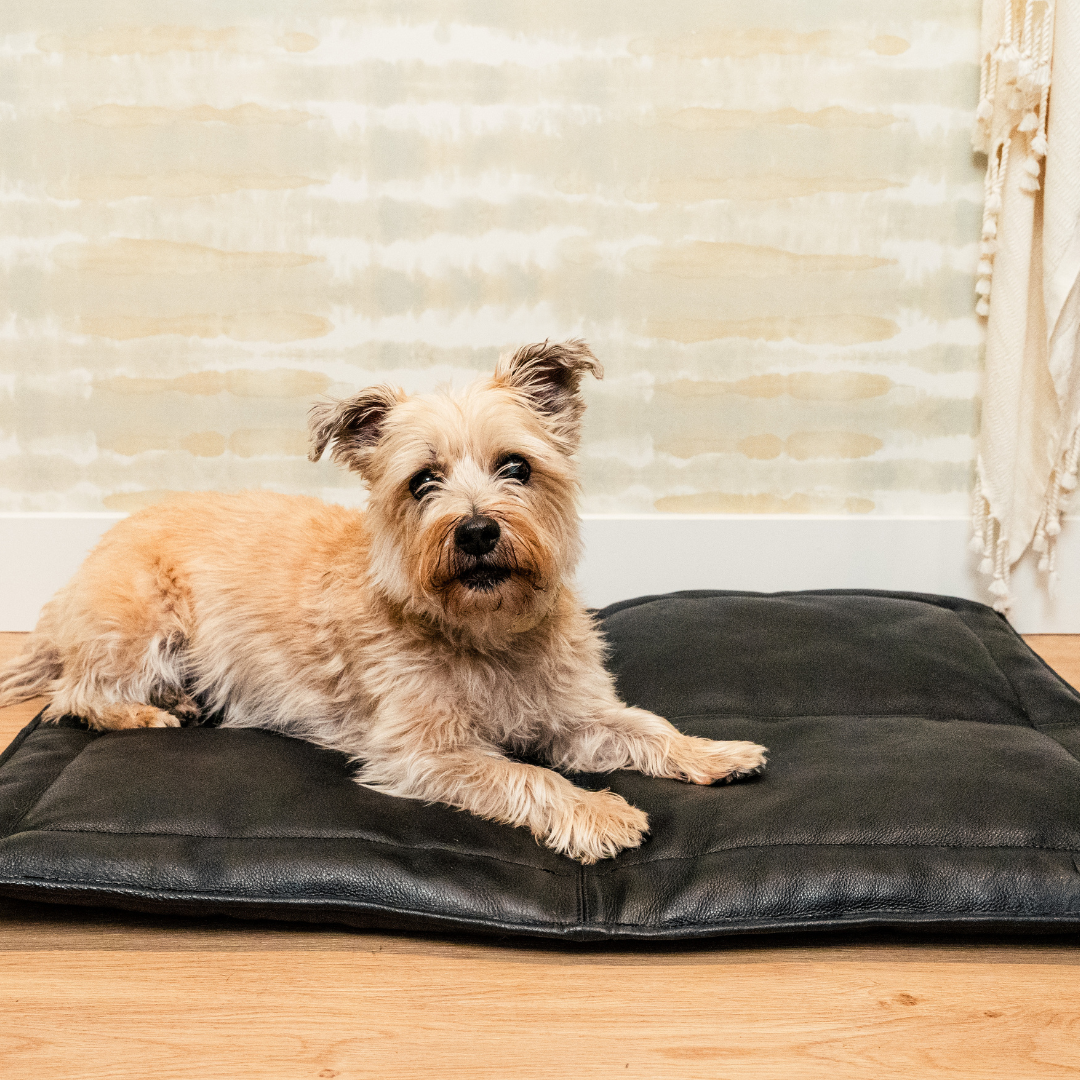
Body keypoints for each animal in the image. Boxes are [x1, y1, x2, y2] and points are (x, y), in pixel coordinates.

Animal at [0, 341, 768, 864]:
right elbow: (525, 774)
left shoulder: (576, 714)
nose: (477, 531)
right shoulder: (426, 753)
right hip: (140, 624)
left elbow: (645, 727)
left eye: (516, 467)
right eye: (422, 481)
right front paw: (598, 813)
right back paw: (152, 712)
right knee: (76, 694)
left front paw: (713, 750)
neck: (485, 632)